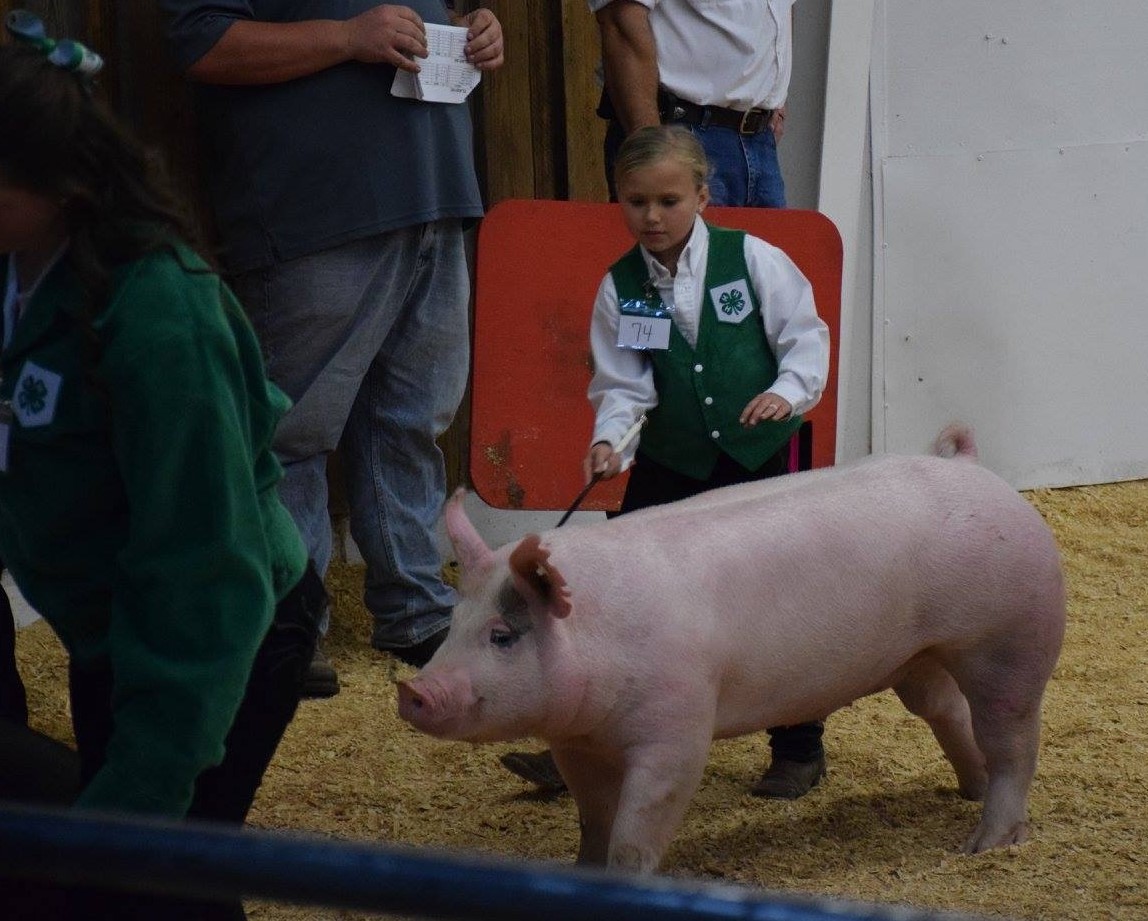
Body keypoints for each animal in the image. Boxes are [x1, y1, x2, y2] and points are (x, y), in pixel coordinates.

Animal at [397, 425, 1065, 873]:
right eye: (453, 623)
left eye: (503, 636)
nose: (415, 690)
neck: (601, 634)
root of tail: (976, 469)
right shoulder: (576, 741)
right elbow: (593, 818)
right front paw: (580, 875)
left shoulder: (677, 729)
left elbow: (636, 831)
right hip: (920, 658)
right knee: (948, 712)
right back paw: (968, 792)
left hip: (1013, 636)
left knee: (1014, 738)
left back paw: (984, 843)